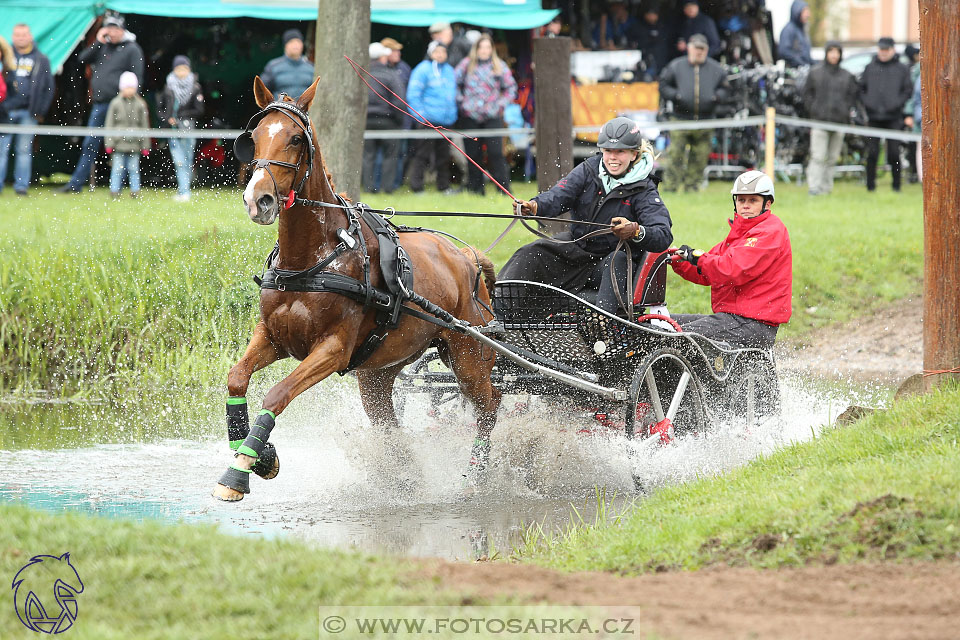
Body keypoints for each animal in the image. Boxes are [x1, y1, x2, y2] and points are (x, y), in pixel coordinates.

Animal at [214, 79, 502, 500]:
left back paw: (477, 474)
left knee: (490, 406)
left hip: (469, 358)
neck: (313, 259)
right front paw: (258, 455)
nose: (258, 200)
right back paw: (403, 476)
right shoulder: (274, 336)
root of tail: (465, 257)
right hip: (378, 373)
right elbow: (236, 376)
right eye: (253, 138)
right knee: (389, 423)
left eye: (296, 138)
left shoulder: (332, 349)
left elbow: (278, 394)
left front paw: (239, 470)